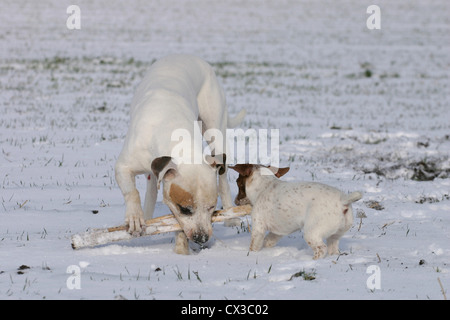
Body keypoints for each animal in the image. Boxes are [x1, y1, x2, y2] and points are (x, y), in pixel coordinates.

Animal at [114, 55, 244, 255]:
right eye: (185, 209)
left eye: (211, 207)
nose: (202, 238)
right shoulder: (124, 166)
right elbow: (132, 191)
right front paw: (135, 217)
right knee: (151, 189)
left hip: (215, 130)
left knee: (222, 179)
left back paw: (231, 217)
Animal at [230, 165, 364, 260]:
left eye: (237, 182)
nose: (235, 201)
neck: (265, 186)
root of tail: (343, 200)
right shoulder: (278, 231)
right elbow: (269, 240)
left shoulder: (258, 227)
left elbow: (254, 246)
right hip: (335, 235)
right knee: (333, 249)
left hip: (311, 233)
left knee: (321, 249)